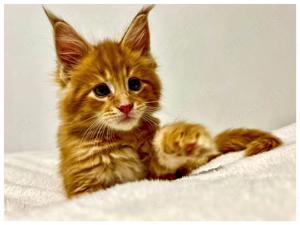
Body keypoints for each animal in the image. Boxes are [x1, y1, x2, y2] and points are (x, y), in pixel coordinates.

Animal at [43, 5, 282, 198]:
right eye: (101, 90)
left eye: (134, 84)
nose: (126, 106)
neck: (122, 140)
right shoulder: (83, 185)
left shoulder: (160, 174)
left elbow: (164, 157)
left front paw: (180, 138)